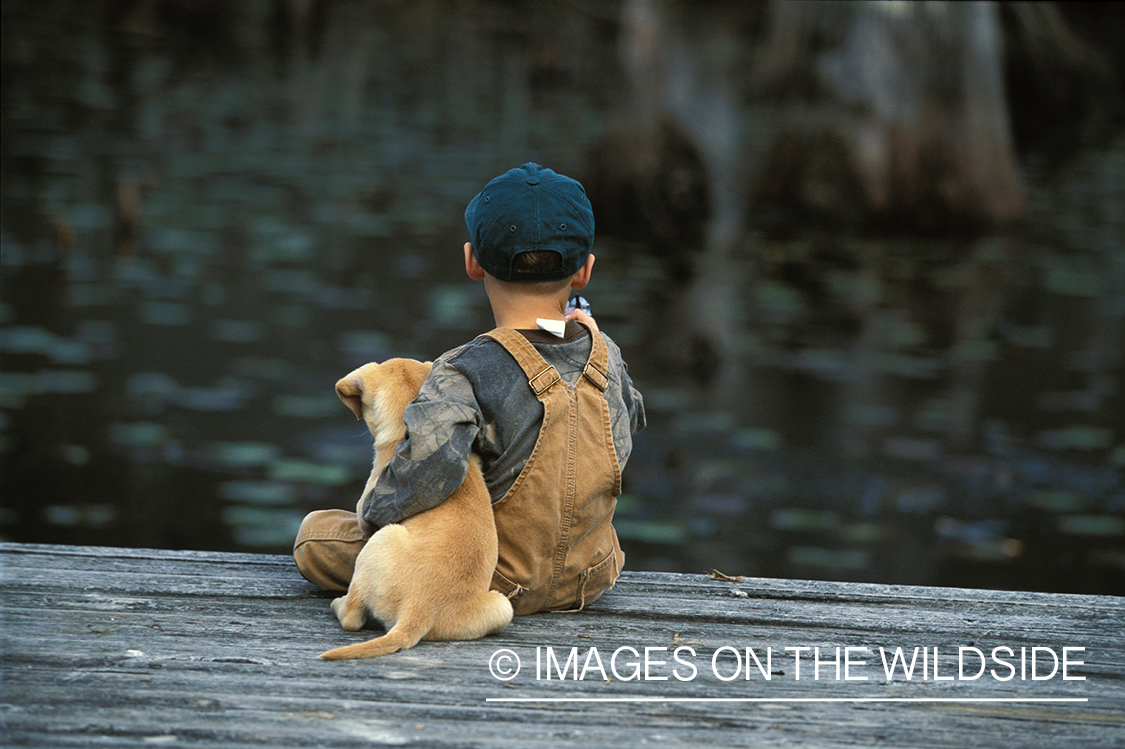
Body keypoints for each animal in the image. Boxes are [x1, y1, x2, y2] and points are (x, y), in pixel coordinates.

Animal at [315, 359, 513, 656]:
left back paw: (338, 604)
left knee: (352, 616)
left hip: (381, 539)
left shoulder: (368, 508)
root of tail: (417, 610)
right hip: (502, 607)